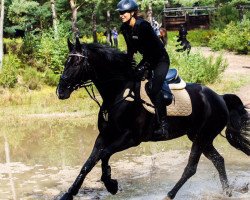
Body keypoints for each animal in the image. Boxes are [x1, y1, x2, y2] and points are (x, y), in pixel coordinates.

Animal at [56, 38, 250, 200]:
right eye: (66, 62)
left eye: (77, 63)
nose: (60, 91)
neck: (118, 93)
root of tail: (220, 97)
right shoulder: (104, 136)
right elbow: (88, 163)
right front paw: (68, 194)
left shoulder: (131, 138)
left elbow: (104, 155)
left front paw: (111, 184)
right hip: (200, 137)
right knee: (218, 160)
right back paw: (226, 192)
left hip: (203, 136)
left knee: (191, 168)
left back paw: (169, 195)